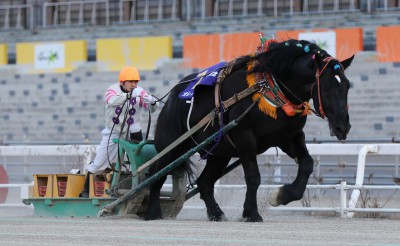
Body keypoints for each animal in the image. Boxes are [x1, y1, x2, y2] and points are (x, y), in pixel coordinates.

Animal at [147, 39, 354, 223]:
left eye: (346, 85)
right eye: (327, 85)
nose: (343, 127)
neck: (267, 87)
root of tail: (173, 96)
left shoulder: (289, 137)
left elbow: (307, 164)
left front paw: (281, 195)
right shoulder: (245, 138)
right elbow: (253, 177)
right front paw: (252, 213)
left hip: (219, 153)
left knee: (204, 181)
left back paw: (216, 213)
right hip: (172, 146)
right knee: (156, 174)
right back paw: (153, 212)